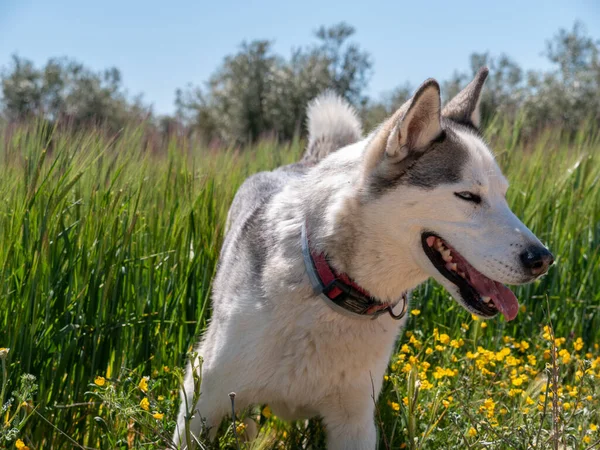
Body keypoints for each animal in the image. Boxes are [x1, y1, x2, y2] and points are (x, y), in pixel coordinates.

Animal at [173, 67, 552, 450]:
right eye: (468, 196)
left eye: (503, 196)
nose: (544, 259)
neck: (329, 284)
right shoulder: (202, 400)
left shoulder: (354, 424)